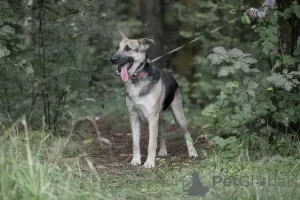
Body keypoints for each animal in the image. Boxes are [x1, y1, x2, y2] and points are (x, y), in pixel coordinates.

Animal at [110, 30, 199, 167]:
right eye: (117, 48)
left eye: (128, 48)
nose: (112, 59)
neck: (137, 78)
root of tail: (170, 74)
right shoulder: (134, 117)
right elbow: (135, 143)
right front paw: (136, 160)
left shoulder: (152, 118)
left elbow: (151, 143)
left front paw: (149, 163)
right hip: (159, 118)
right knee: (162, 134)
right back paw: (162, 151)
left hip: (178, 116)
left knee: (187, 133)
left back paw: (192, 152)